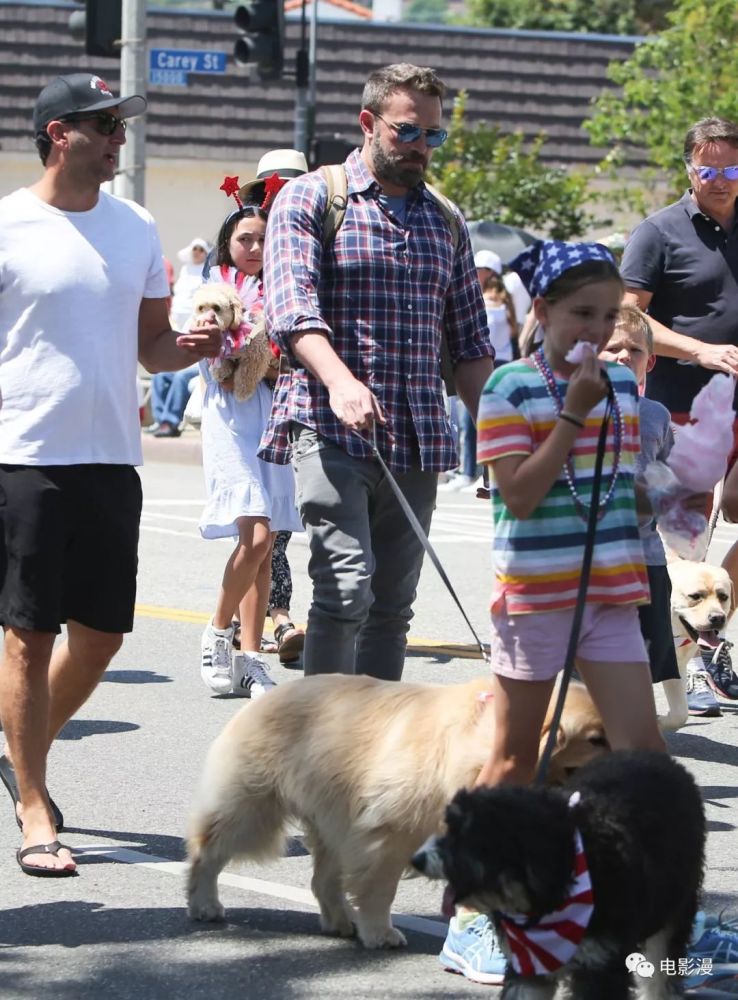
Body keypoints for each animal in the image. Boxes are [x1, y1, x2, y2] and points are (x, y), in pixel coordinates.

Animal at [187, 676, 608, 948]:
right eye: (596, 739)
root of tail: (264, 697)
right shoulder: (390, 833)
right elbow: (380, 888)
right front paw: (380, 933)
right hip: (253, 809)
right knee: (208, 852)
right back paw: (204, 903)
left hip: (335, 819)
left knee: (323, 880)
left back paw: (339, 921)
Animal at [412, 752, 704, 996]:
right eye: (449, 827)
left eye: (467, 835)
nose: (417, 860)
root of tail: (663, 760)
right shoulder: (528, 967)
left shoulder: (601, 966)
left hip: (674, 910)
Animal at [664, 560, 732, 732]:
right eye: (695, 596)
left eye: (723, 596)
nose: (718, 618)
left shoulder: (675, 667)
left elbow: (680, 713)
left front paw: (660, 723)